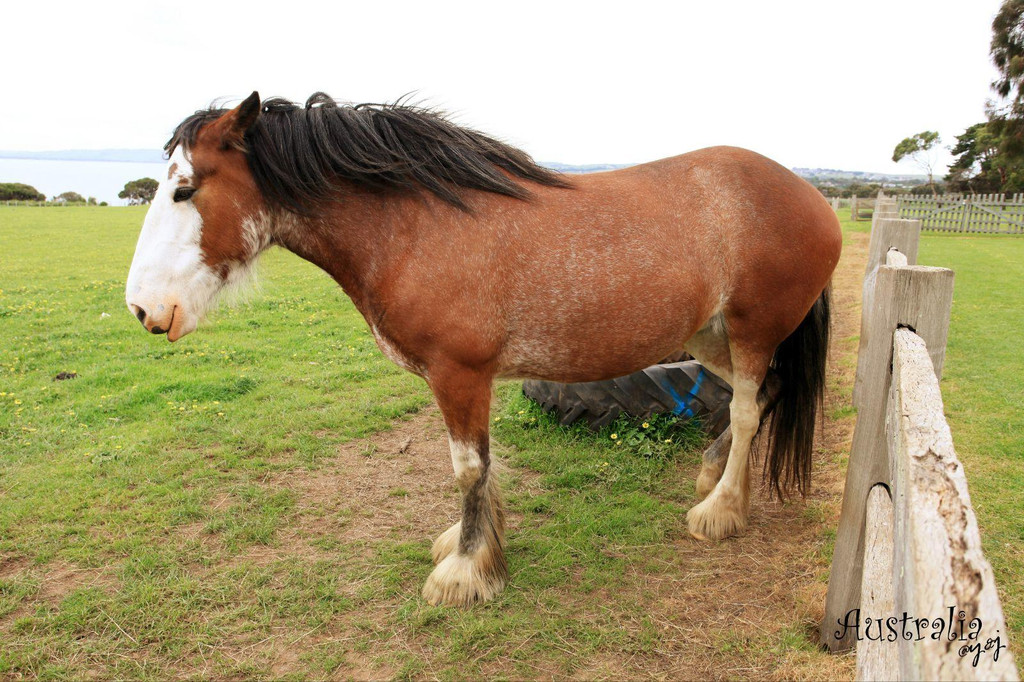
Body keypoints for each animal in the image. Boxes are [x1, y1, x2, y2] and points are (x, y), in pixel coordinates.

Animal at [125, 91, 839, 606]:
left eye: (185, 189)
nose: (142, 308)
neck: (415, 227)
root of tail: (813, 197)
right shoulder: (469, 378)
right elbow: (485, 466)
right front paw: (475, 544)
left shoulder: (459, 372)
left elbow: (468, 468)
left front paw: (466, 572)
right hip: (707, 334)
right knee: (761, 397)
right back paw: (715, 476)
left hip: (750, 330)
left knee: (745, 409)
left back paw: (720, 510)